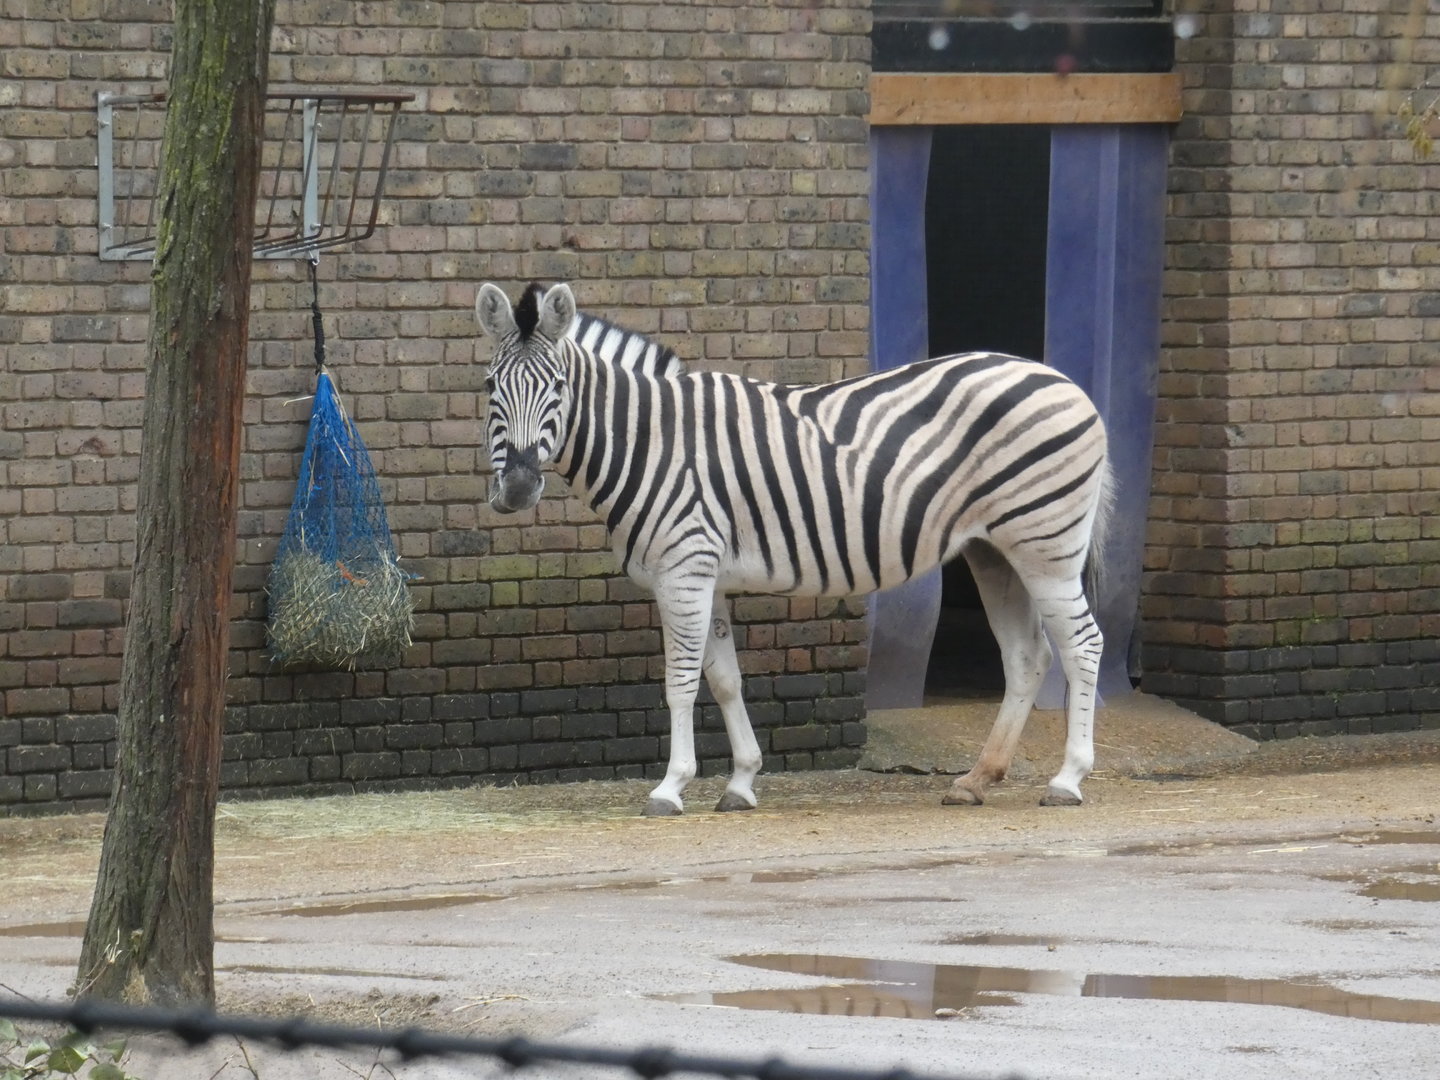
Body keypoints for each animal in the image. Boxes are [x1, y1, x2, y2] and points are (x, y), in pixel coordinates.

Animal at [476, 281, 1114, 817]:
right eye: (489, 387)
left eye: (559, 388)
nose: (517, 488)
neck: (649, 442)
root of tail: (1066, 382)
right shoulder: (707, 576)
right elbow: (724, 679)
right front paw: (740, 782)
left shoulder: (683, 570)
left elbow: (680, 678)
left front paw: (670, 787)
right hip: (995, 550)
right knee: (1027, 656)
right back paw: (978, 779)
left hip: (1046, 544)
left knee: (1083, 645)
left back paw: (1068, 780)